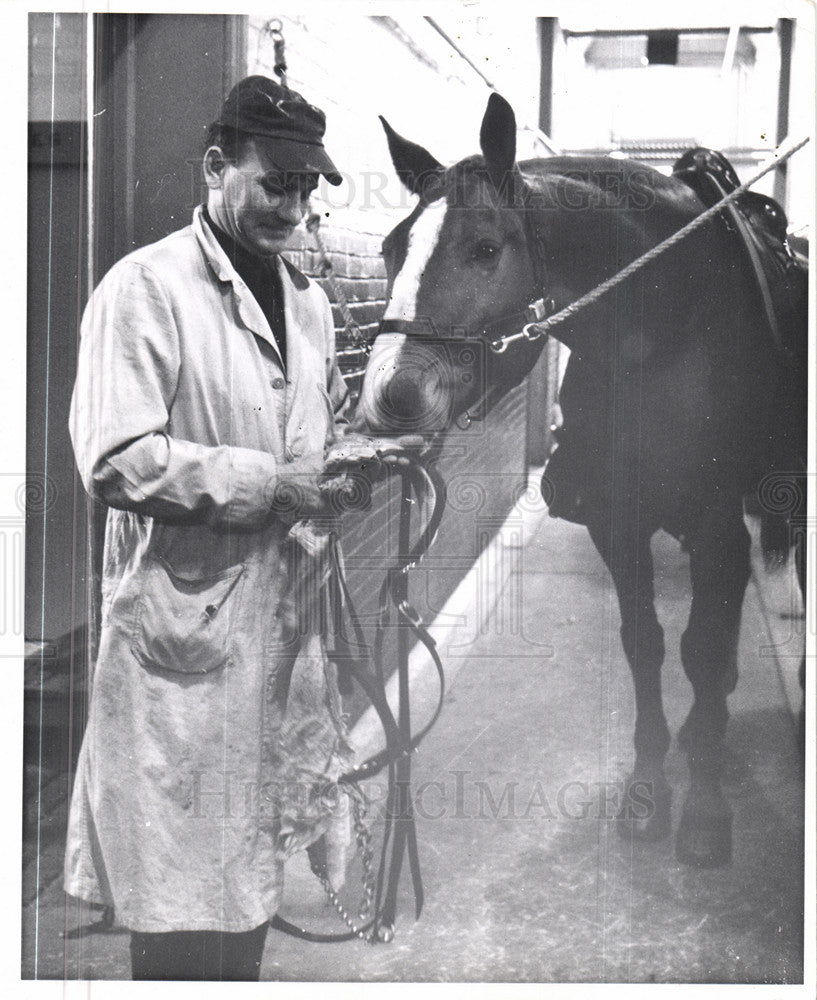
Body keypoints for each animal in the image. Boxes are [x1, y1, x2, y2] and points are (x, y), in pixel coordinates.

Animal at [354, 95, 808, 868]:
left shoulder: (719, 527)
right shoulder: (616, 519)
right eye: (390, 248)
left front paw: (705, 806)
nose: (389, 397)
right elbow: (646, 643)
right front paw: (650, 786)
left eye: (485, 248)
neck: (669, 325)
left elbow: (699, 647)